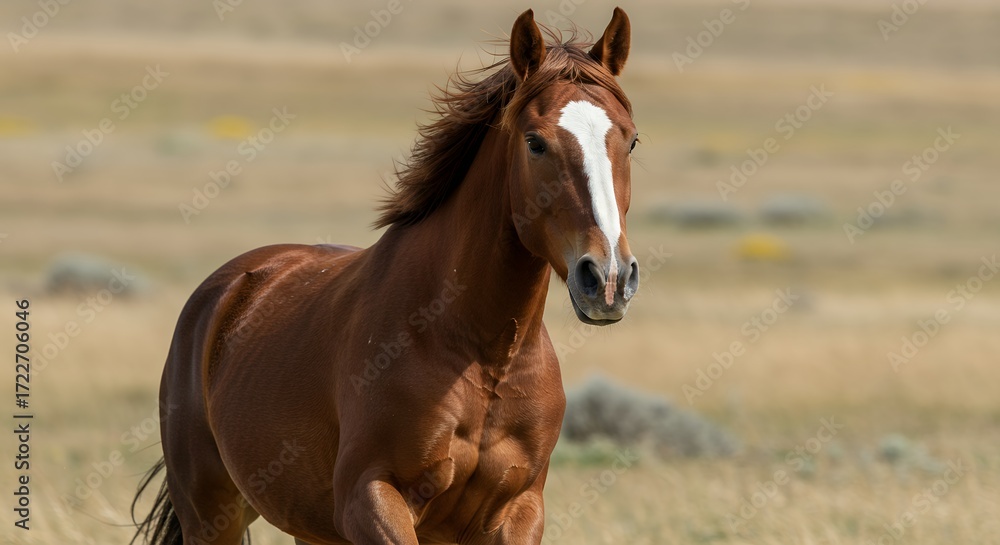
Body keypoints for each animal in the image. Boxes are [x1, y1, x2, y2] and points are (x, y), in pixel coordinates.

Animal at [132, 7, 639, 545]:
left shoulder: (518, 510)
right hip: (211, 512)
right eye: (535, 142)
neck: (482, 354)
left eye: (631, 139)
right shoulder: (369, 498)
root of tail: (227, 289)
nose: (607, 278)